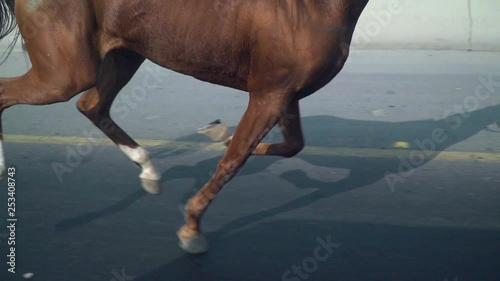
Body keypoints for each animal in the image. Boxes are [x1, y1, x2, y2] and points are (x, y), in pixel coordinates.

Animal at [0, 0, 368, 253]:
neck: (310, 6)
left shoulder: (285, 92)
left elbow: (290, 146)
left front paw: (220, 133)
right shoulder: (269, 93)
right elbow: (234, 160)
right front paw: (192, 229)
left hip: (123, 55)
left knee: (91, 106)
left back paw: (149, 171)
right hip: (64, 73)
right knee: (10, 93)